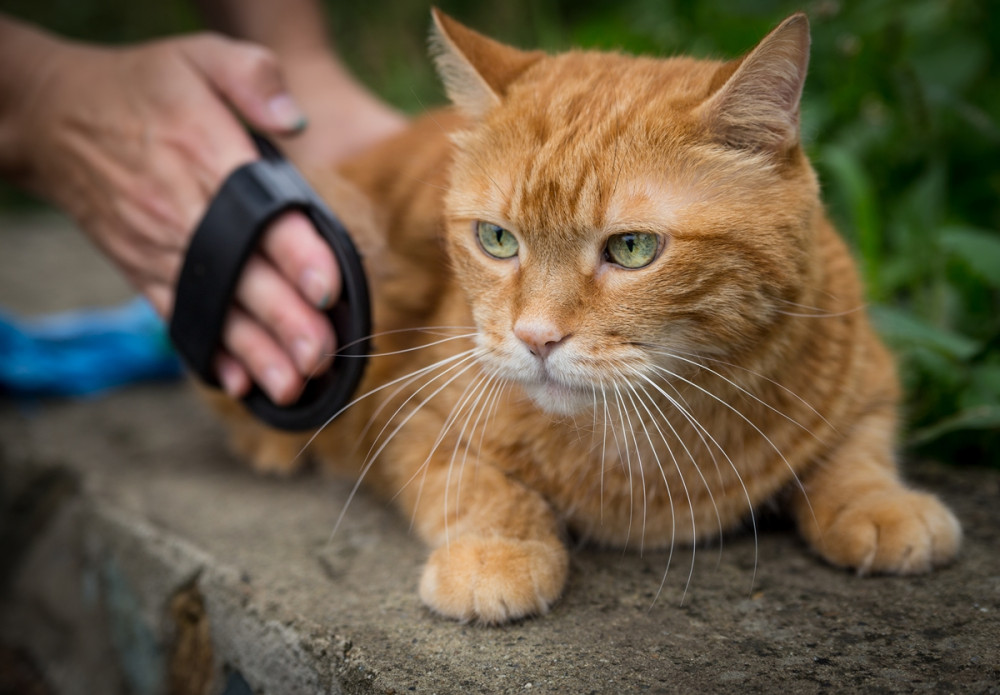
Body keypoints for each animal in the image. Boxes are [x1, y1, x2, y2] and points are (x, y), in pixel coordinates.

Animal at [211, 10, 960, 624]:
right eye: (497, 239)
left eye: (631, 249)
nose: (535, 336)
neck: (639, 446)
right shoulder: (407, 410)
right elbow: (476, 486)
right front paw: (496, 553)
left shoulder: (868, 374)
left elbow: (857, 450)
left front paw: (882, 505)